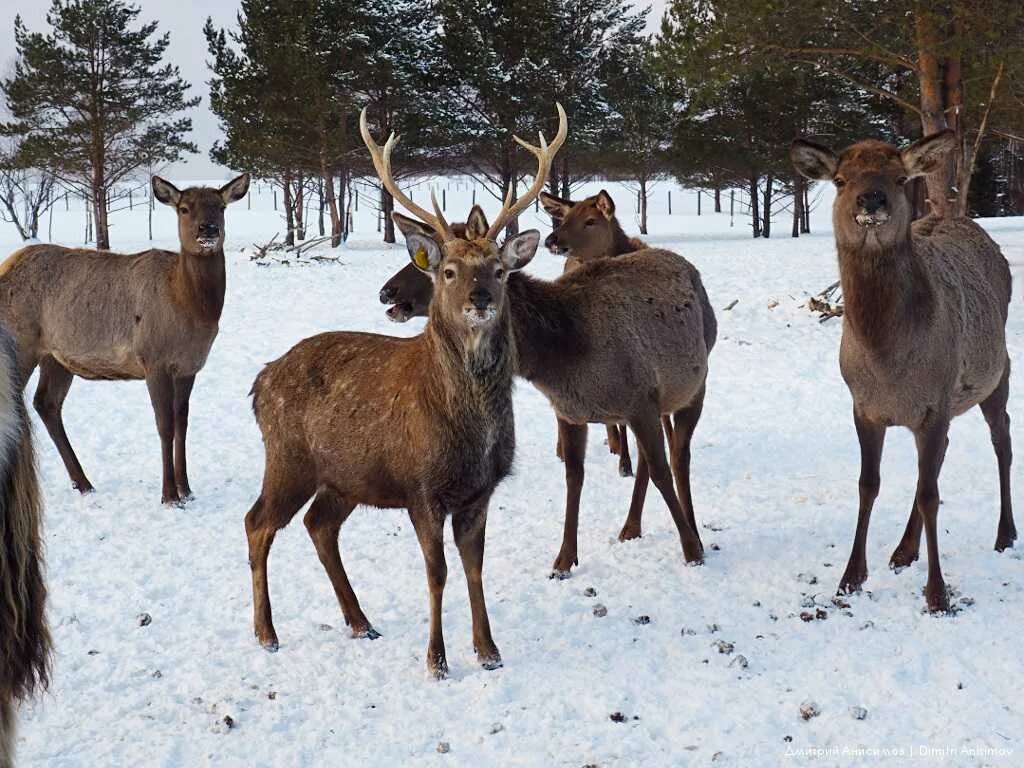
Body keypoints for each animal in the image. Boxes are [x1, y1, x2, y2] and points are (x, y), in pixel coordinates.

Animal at [0, 174, 249, 505]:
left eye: (220, 206)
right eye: (184, 208)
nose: (208, 230)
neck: (193, 309)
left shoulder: (189, 366)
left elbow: (182, 423)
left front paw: (187, 489)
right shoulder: (154, 360)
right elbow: (165, 425)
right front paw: (169, 494)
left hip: (56, 356)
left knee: (46, 403)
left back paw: (83, 482)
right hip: (22, 345)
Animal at [240, 103, 561, 679]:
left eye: (499, 270)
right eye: (449, 271)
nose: (480, 299)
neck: (468, 430)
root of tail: (260, 381)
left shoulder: (480, 491)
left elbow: (475, 570)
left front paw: (488, 651)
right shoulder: (421, 488)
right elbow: (437, 574)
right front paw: (436, 659)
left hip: (344, 476)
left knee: (319, 525)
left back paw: (360, 621)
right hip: (288, 456)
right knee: (257, 523)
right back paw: (267, 633)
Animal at [374, 204, 712, 577]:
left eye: (432, 270)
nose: (387, 292)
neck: (561, 355)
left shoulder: (640, 400)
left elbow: (663, 472)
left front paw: (692, 550)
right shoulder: (570, 412)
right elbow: (574, 478)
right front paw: (564, 560)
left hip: (695, 384)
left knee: (679, 456)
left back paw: (691, 529)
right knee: (647, 463)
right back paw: (631, 526)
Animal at [786, 132, 1011, 614]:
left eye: (900, 177)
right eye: (840, 179)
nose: (871, 199)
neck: (888, 363)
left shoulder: (934, 404)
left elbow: (930, 495)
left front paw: (938, 594)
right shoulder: (864, 408)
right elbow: (868, 485)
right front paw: (850, 577)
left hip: (996, 369)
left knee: (1001, 440)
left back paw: (1005, 534)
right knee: (941, 459)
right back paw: (904, 551)